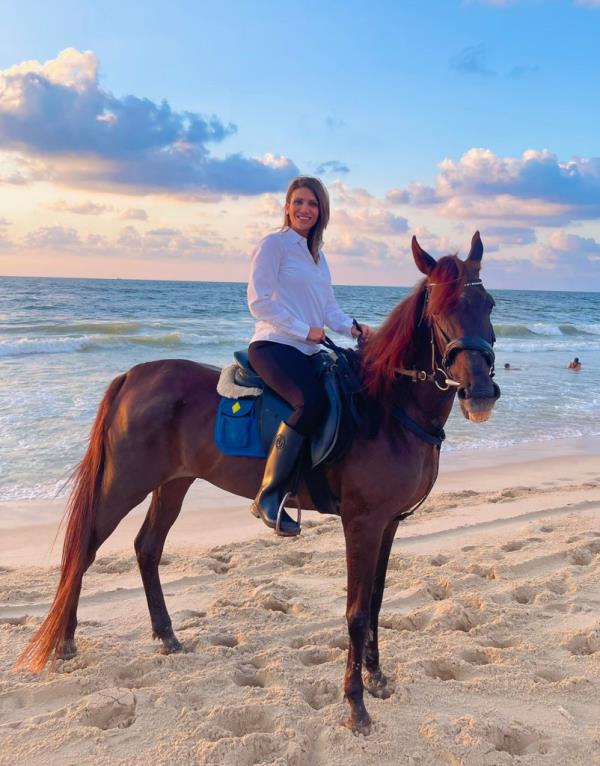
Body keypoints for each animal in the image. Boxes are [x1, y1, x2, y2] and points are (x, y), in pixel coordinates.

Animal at [16, 231, 500, 736]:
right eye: (439, 311)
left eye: (489, 304)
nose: (481, 393)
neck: (386, 407)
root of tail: (134, 374)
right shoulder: (362, 524)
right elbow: (357, 612)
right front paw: (355, 704)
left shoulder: (389, 524)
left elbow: (378, 602)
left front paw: (377, 676)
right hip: (125, 483)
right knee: (84, 549)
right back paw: (65, 641)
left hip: (173, 483)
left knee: (146, 548)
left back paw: (166, 635)